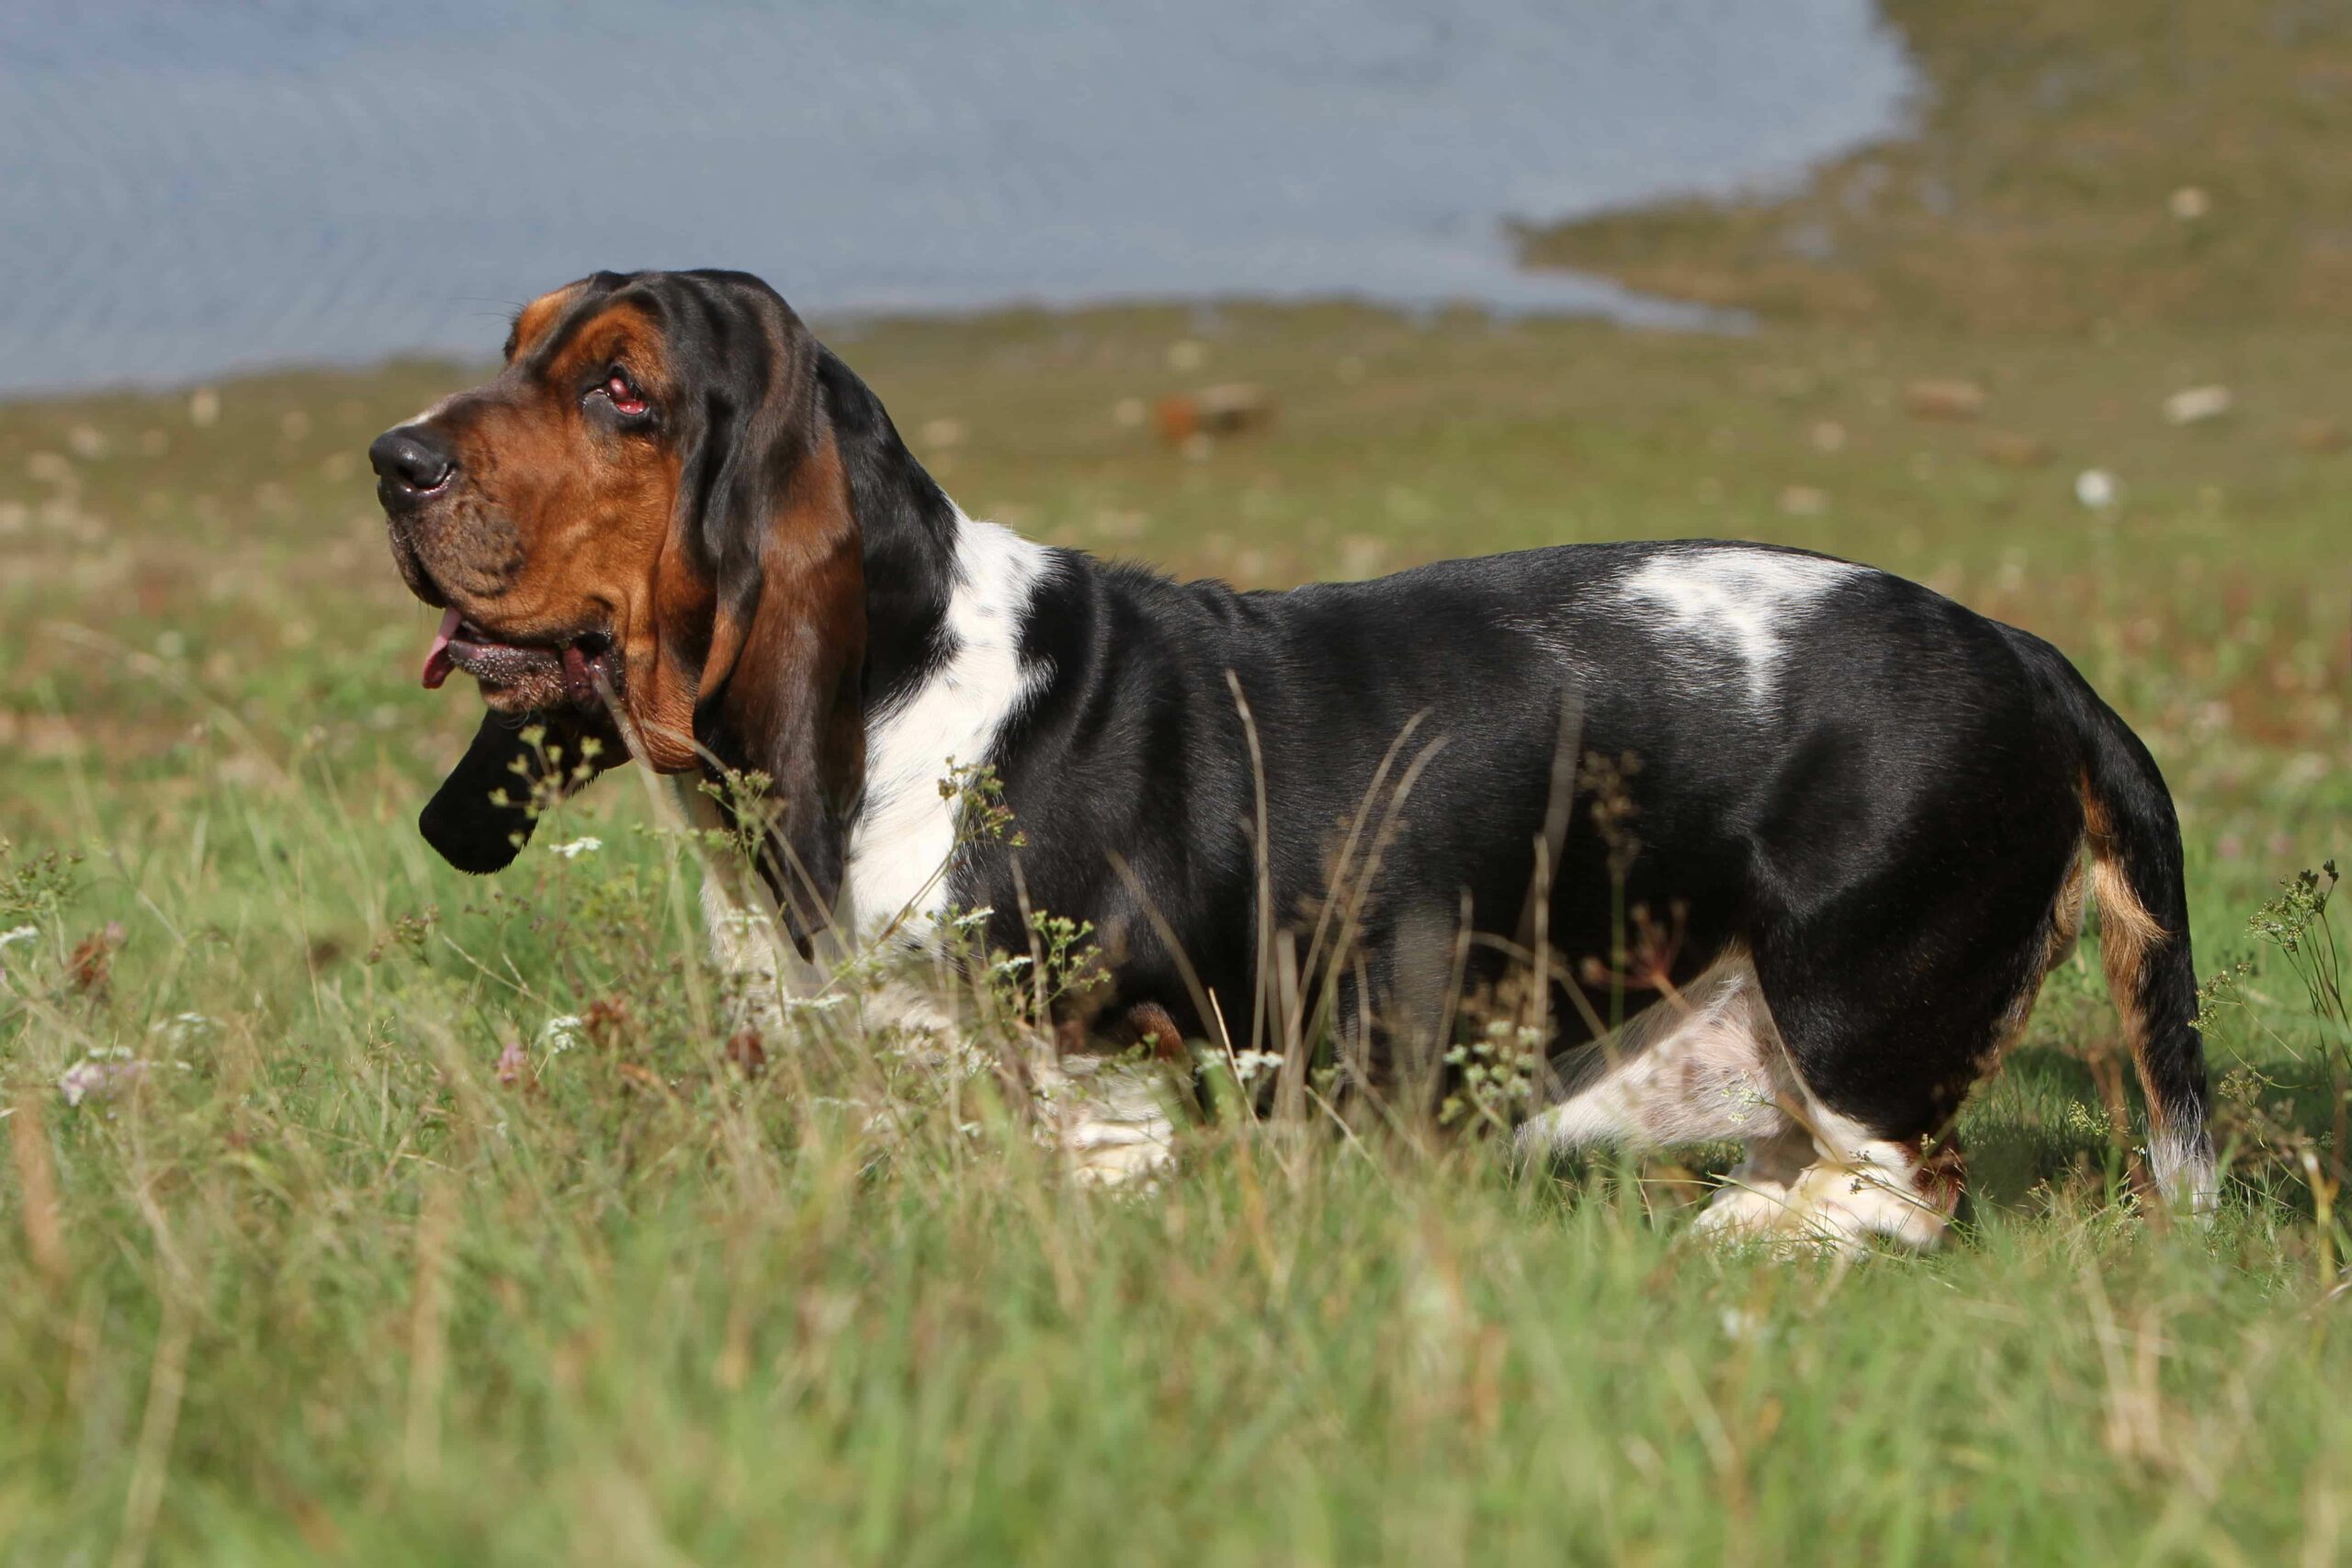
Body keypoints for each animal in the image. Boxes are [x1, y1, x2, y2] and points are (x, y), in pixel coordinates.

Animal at [367, 272, 2201, 1250]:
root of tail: (2030, 657)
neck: (899, 693)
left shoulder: (1116, 1093)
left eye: (622, 390)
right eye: (520, 342)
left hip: (1842, 992)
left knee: (1906, 1181)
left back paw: (1741, 1241)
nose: (388, 458)